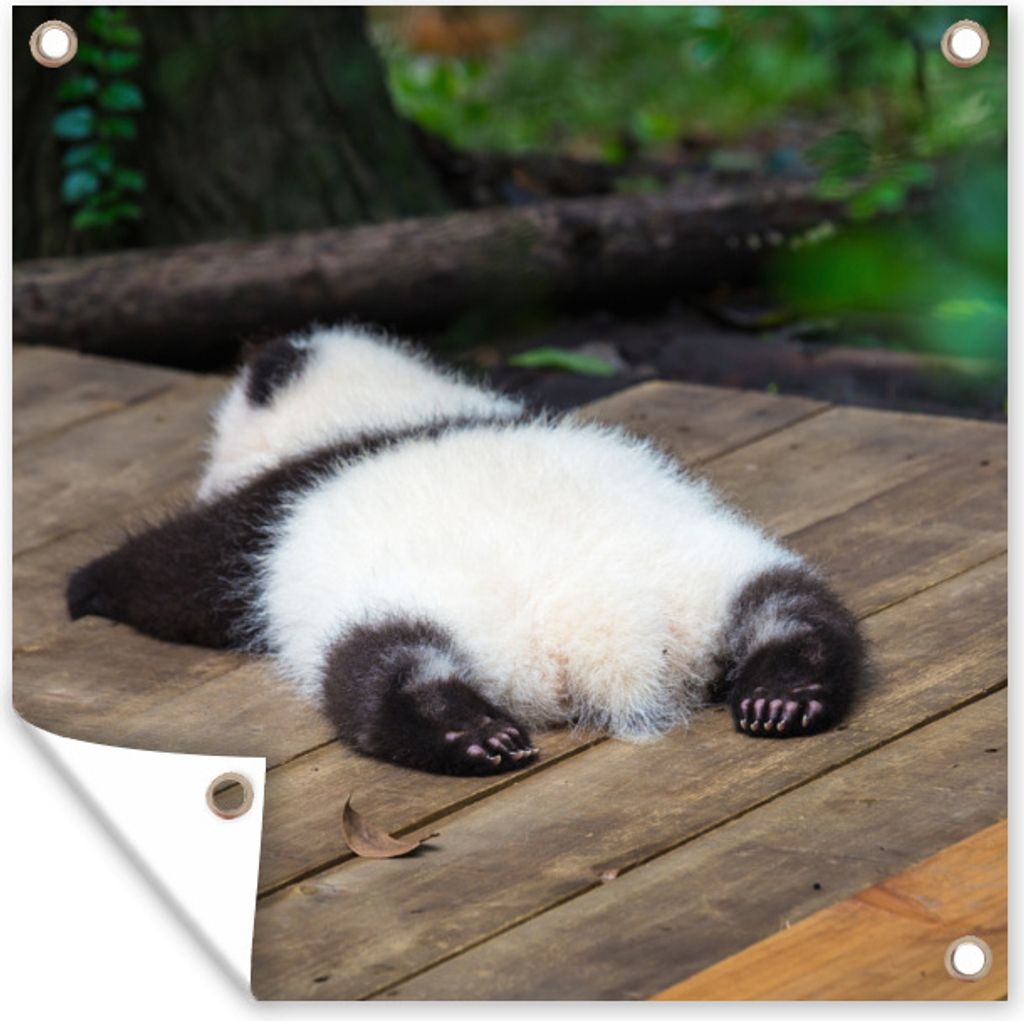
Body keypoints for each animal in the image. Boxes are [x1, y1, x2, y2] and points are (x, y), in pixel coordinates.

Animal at [67, 325, 864, 775]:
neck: (384, 408)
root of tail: (606, 634)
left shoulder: (268, 512)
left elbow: (180, 575)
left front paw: (87, 587)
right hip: (712, 567)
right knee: (796, 611)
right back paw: (784, 693)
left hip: (414, 608)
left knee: (380, 669)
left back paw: (468, 734)